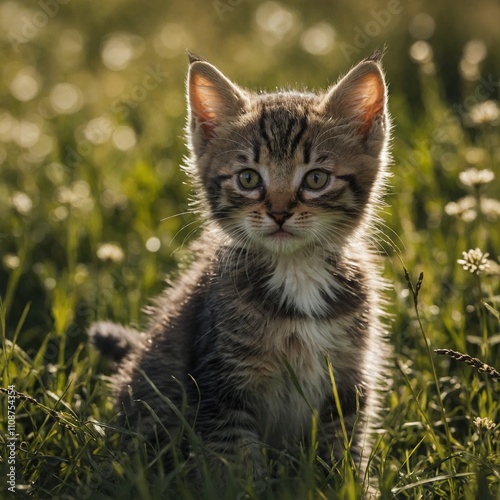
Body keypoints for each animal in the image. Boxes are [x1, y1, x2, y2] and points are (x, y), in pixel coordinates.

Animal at [92, 51, 392, 492]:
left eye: (316, 178)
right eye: (249, 178)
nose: (280, 212)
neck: (297, 272)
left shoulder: (349, 376)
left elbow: (343, 441)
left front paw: (350, 485)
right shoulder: (221, 383)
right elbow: (235, 457)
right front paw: (249, 487)